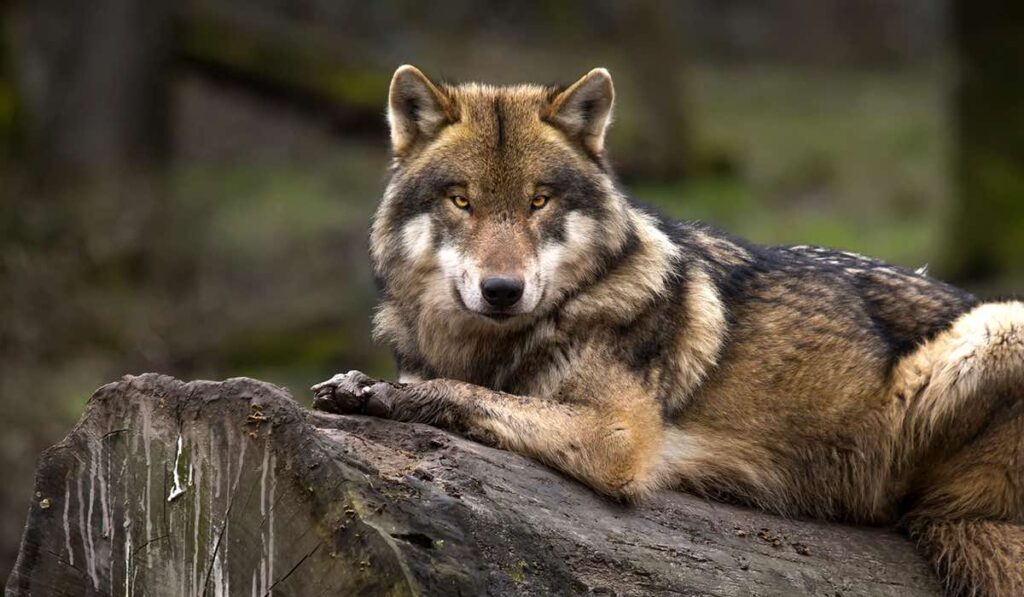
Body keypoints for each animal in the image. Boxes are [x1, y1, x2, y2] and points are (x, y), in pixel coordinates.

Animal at [312, 65, 1024, 596]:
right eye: (462, 201)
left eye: (539, 200)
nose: (502, 291)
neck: (491, 346)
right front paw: (359, 386)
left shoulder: (617, 438)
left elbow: (469, 396)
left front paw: (386, 396)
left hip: (997, 328)